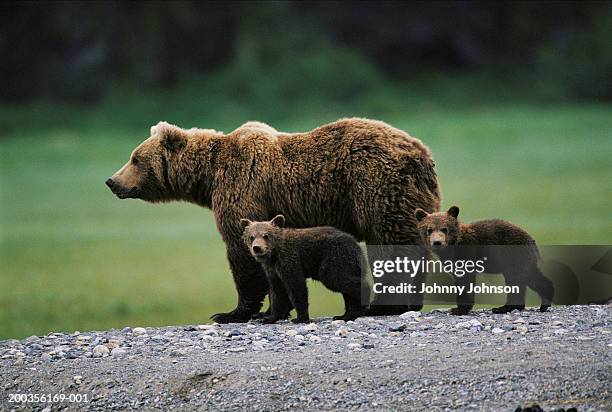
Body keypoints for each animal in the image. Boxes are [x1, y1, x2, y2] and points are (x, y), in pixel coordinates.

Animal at [106, 117, 440, 324]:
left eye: (135, 158)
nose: (112, 181)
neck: (209, 177)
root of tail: (422, 153)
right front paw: (270, 310)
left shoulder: (244, 186)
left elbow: (242, 254)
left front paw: (232, 312)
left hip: (377, 184)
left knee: (390, 242)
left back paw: (383, 306)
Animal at [416, 206, 556, 316]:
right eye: (429, 229)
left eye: (445, 228)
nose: (437, 242)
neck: (453, 246)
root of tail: (531, 239)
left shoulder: (467, 255)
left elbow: (465, 280)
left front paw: (458, 309)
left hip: (514, 256)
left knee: (520, 278)